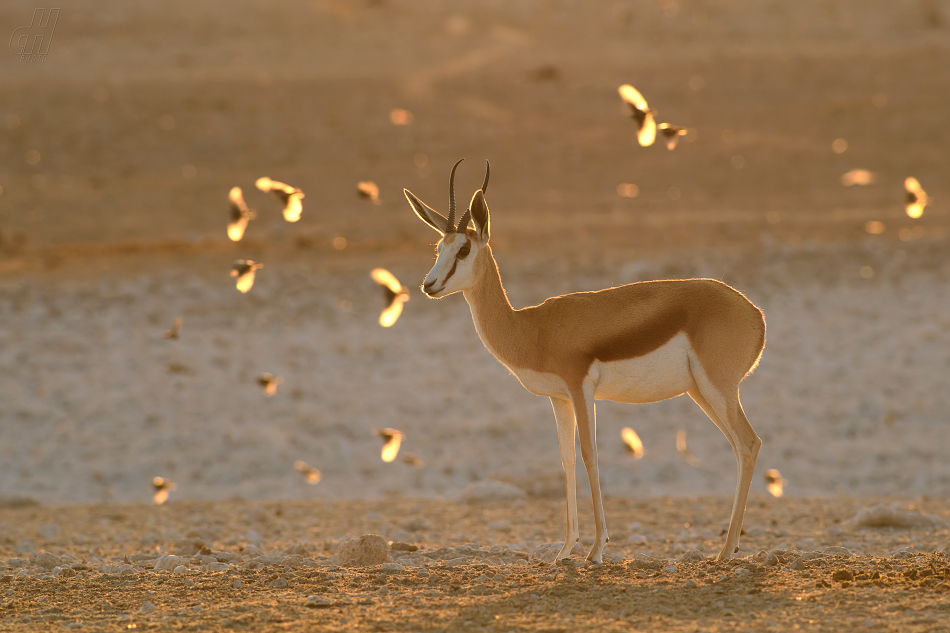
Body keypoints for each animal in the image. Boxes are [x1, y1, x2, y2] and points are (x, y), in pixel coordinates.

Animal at [406, 159, 768, 564]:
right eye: (439, 246)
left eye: (464, 248)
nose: (428, 285)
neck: (532, 328)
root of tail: (755, 314)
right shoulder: (558, 398)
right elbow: (566, 459)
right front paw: (564, 549)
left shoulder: (581, 388)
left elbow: (589, 455)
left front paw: (595, 549)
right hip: (700, 392)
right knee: (740, 447)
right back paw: (729, 546)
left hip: (717, 388)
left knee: (749, 444)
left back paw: (725, 551)